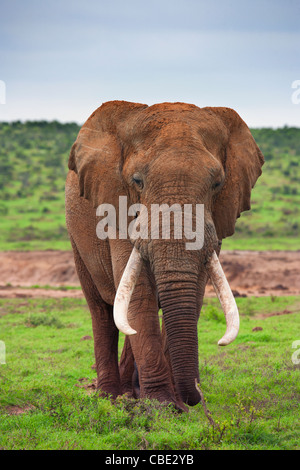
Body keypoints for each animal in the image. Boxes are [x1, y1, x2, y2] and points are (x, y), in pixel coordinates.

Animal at [64, 100, 264, 412]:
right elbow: (140, 294)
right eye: (137, 181)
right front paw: (162, 405)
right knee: (102, 311)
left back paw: (130, 393)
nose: (195, 397)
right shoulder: (117, 208)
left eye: (218, 184)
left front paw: (171, 403)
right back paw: (109, 397)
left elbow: (193, 292)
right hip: (77, 238)